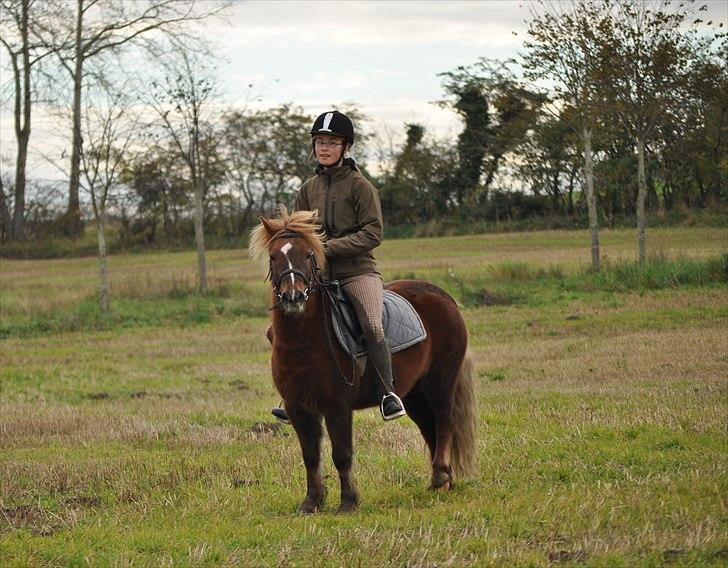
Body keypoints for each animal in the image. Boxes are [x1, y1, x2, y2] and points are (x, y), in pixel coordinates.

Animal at [250, 208, 476, 513]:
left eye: (308, 255)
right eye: (274, 256)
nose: (293, 297)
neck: (306, 342)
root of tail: (444, 297)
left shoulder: (338, 406)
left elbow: (342, 454)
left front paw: (348, 502)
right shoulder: (299, 408)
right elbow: (310, 456)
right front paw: (312, 502)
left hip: (440, 383)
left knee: (443, 422)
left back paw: (441, 477)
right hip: (414, 394)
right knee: (429, 428)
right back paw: (440, 482)